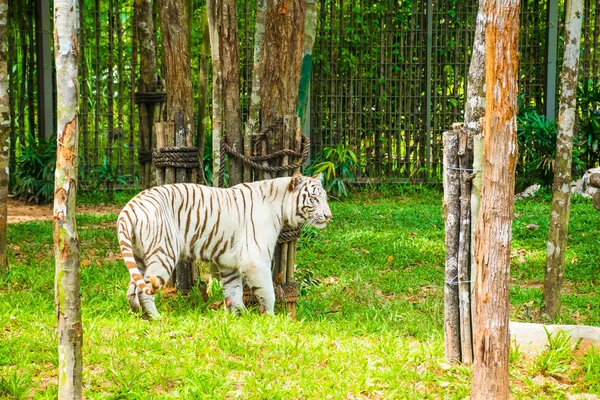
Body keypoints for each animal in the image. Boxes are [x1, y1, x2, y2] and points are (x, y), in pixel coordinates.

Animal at [116, 173, 332, 318]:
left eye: (325, 197)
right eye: (313, 199)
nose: (329, 216)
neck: (280, 208)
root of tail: (129, 209)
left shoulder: (228, 262)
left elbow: (233, 291)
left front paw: (240, 316)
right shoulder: (255, 259)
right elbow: (267, 291)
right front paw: (271, 318)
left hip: (139, 257)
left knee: (132, 288)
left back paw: (137, 315)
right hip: (163, 254)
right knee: (145, 290)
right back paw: (156, 318)